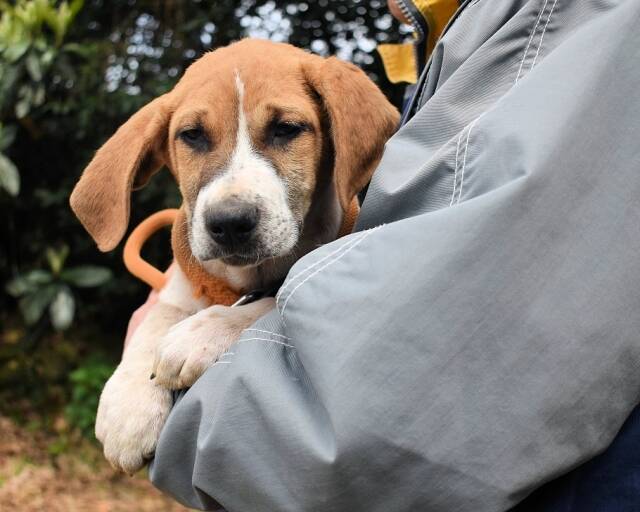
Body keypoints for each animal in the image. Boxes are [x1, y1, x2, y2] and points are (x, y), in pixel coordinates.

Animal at [70, 39, 399, 474]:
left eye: (286, 129)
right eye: (192, 136)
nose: (229, 223)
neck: (245, 277)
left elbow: (267, 303)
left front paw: (202, 333)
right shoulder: (177, 288)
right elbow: (153, 324)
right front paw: (128, 408)